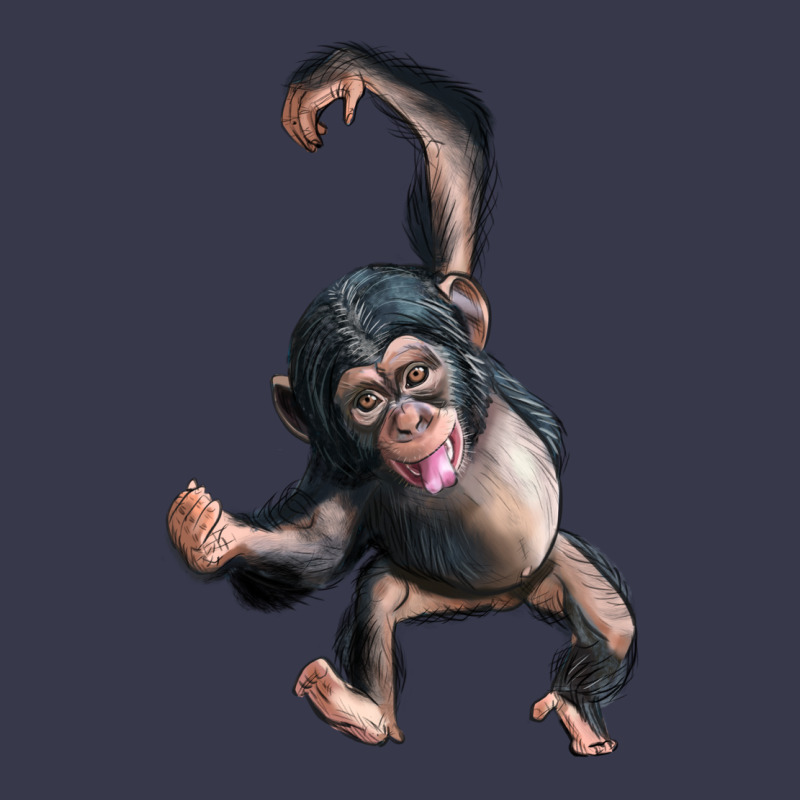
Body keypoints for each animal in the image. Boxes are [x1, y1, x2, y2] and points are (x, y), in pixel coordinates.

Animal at [167, 44, 636, 756]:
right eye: (366, 403)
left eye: (415, 375)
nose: (409, 420)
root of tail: (500, 601)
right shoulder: (347, 479)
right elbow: (325, 543)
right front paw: (211, 535)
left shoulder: (445, 296)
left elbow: (454, 194)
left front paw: (343, 79)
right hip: (427, 590)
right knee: (378, 597)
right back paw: (363, 711)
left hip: (556, 566)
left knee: (613, 626)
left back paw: (577, 704)